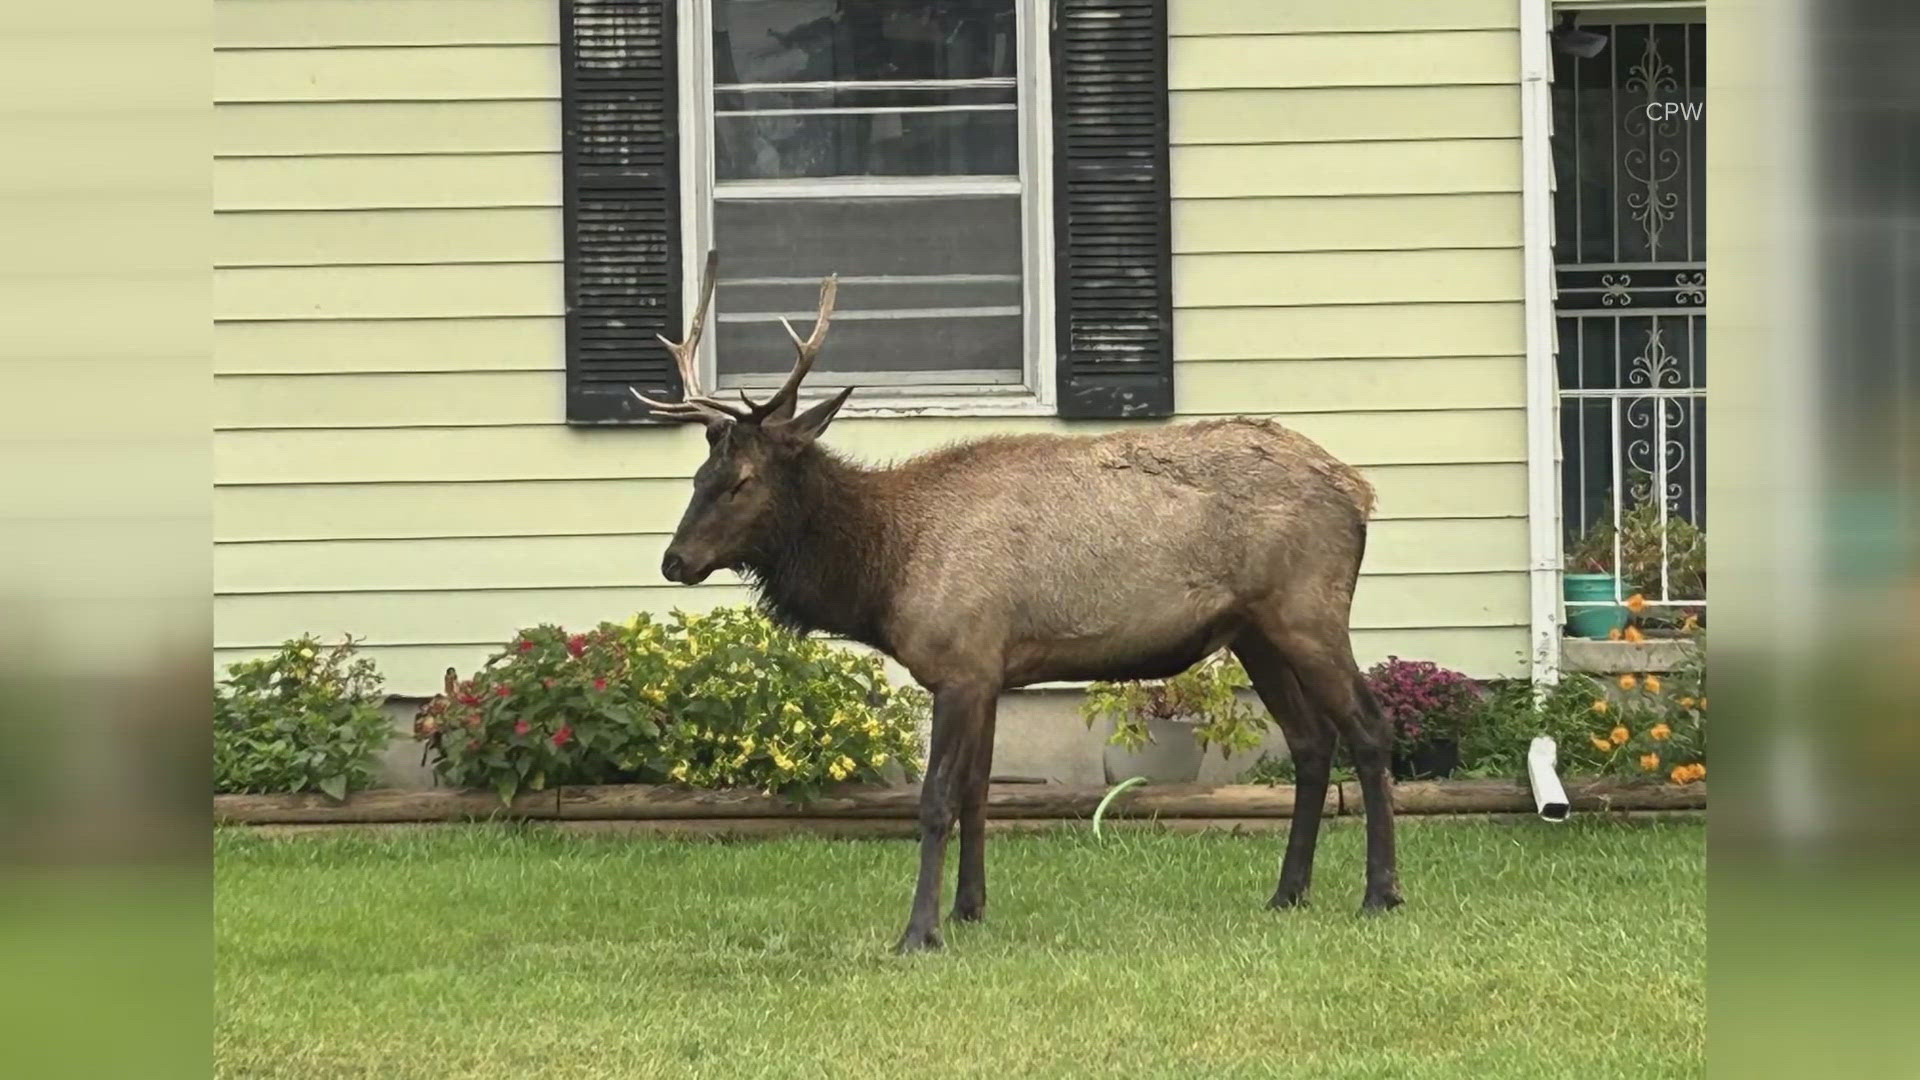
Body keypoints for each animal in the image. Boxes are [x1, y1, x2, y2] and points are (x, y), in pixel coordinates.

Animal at [637, 251, 1405, 949]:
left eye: (741, 481)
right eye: (699, 475)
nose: (675, 560)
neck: (884, 571)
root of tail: (1360, 491)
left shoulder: (962, 663)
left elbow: (937, 800)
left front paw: (919, 931)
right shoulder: (987, 670)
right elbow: (980, 792)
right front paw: (968, 910)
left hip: (1308, 609)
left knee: (1368, 729)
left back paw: (1380, 893)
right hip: (1253, 629)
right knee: (1311, 742)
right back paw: (1288, 892)